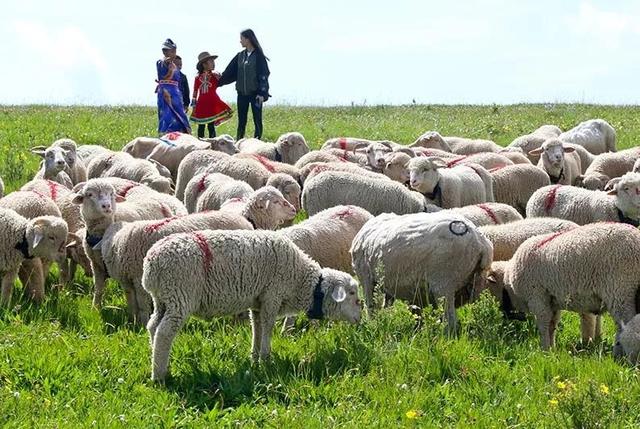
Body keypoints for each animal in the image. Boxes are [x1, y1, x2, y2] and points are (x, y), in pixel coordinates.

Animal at [97, 211, 252, 324]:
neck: (117, 242)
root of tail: (246, 222)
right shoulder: (127, 282)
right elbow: (132, 303)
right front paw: (135, 321)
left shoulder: (137, 278)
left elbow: (142, 304)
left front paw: (142, 323)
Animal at [144, 229, 362, 380]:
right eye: (352, 293)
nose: (360, 318)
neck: (301, 281)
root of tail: (151, 265)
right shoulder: (272, 296)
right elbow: (268, 327)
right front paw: (266, 360)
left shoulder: (257, 302)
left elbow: (256, 328)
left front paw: (254, 359)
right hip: (180, 294)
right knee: (164, 332)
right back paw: (159, 376)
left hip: (163, 299)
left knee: (153, 326)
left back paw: (158, 362)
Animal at [352, 211, 492, 334]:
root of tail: (480, 242)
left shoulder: (366, 277)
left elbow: (371, 307)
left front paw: (373, 325)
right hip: (475, 282)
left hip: (445, 283)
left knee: (450, 319)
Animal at [484, 221, 640, 354]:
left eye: (488, 287)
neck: (509, 282)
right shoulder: (552, 301)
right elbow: (552, 325)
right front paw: (552, 349)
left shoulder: (537, 297)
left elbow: (543, 325)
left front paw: (544, 350)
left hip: (620, 289)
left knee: (626, 326)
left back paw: (621, 355)